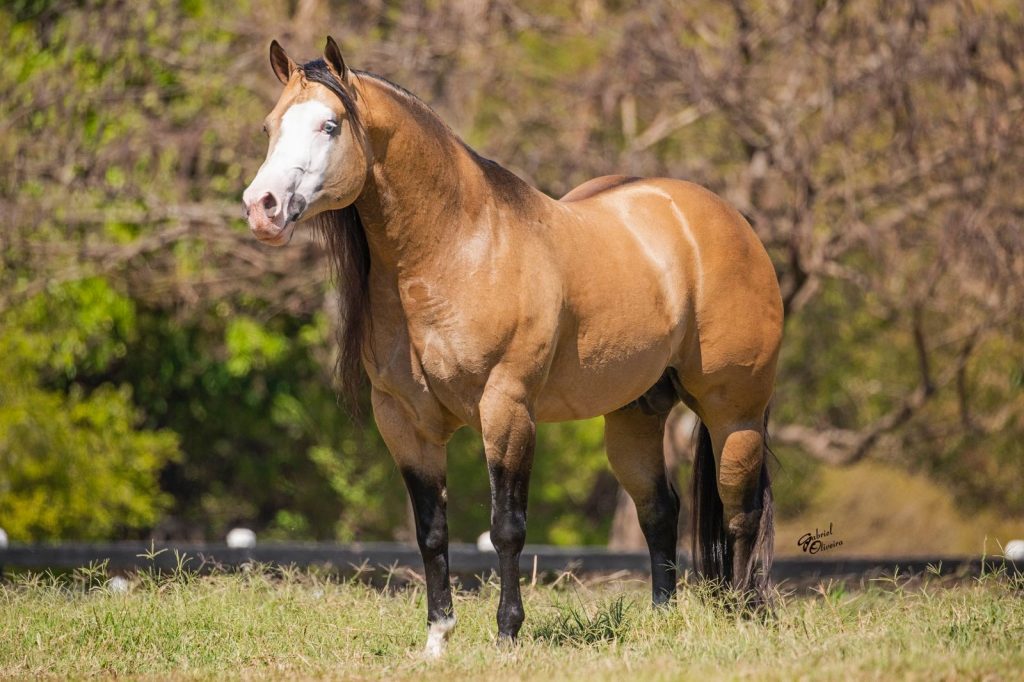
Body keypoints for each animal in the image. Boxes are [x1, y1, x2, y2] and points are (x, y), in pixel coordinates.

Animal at [241, 35, 782, 655]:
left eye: (330, 125)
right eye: (269, 126)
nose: (261, 206)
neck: (459, 248)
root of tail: (728, 222)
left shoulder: (506, 408)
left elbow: (506, 528)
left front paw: (507, 634)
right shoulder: (404, 422)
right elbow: (431, 531)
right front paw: (437, 639)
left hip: (734, 412)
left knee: (741, 512)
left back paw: (745, 614)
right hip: (635, 416)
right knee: (659, 509)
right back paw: (662, 619)